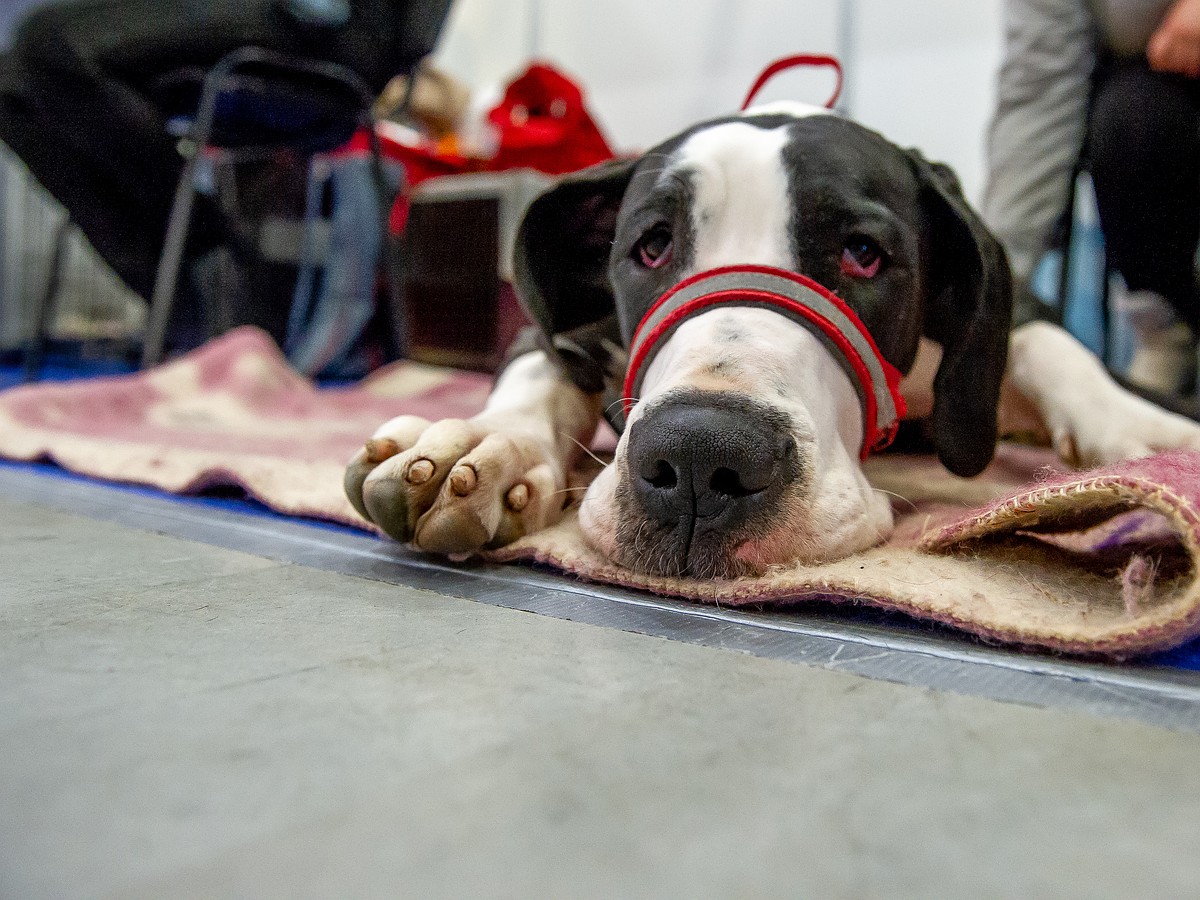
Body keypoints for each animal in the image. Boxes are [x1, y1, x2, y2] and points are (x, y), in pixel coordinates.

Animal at [343, 98, 1200, 578]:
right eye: (650, 246)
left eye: (864, 253)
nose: (698, 456)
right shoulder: (556, 335)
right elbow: (540, 371)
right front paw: (484, 446)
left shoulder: (1020, 316)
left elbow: (1051, 344)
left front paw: (1148, 434)